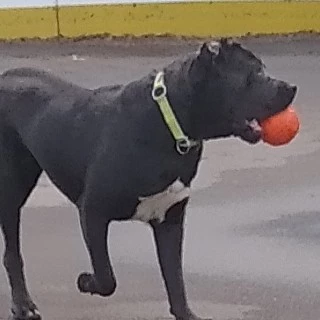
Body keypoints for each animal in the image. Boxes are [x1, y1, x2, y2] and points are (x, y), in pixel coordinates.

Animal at [0, 40, 296, 320]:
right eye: (254, 73)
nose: (292, 87)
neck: (171, 122)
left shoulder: (171, 220)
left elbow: (175, 279)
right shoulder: (93, 210)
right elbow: (107, 278)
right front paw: (86, 281)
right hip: (12, 190)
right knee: (12, 253)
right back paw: (24, 306)